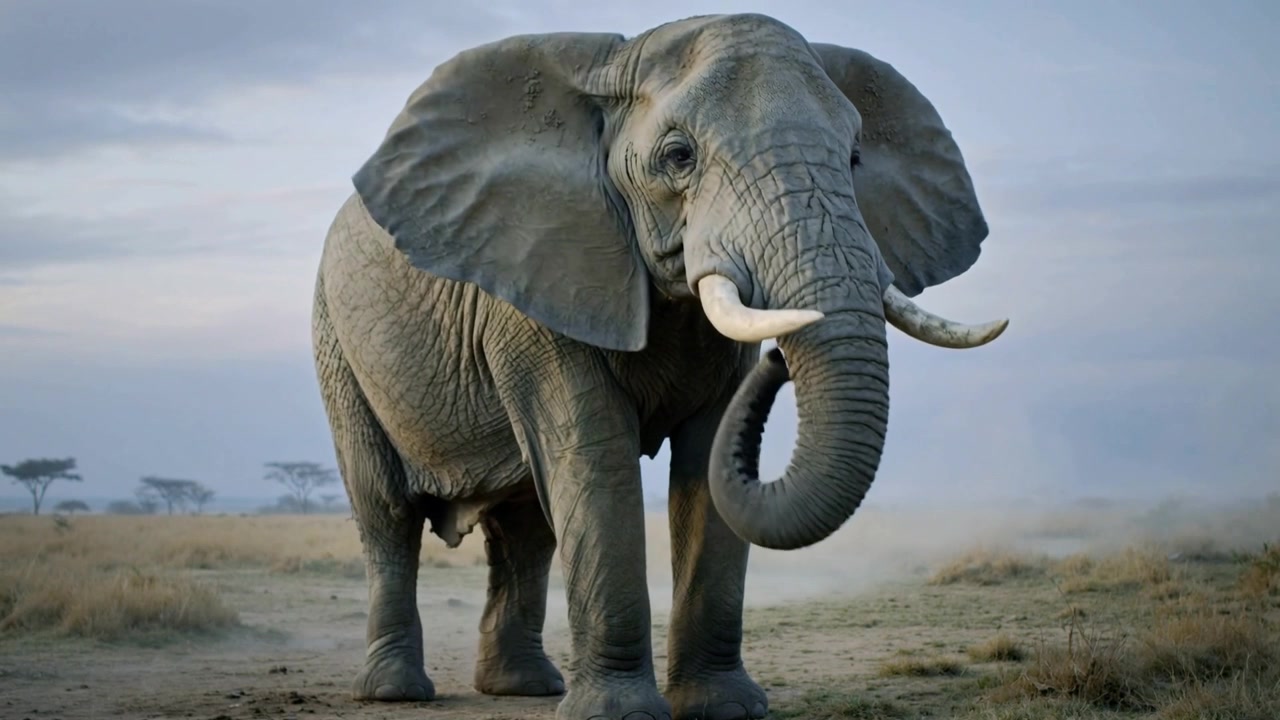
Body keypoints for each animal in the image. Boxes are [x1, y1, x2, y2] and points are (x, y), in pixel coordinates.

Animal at [311, 12, 1008, 720]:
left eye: (856, 158)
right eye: (679, 157)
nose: (780, 356)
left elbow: (705, 463)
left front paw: (723, 708)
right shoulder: (539, 285)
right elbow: (596, 461)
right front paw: (619, 714)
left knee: (525, 529)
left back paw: (525, 686)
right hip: (337, 344)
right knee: (387, 515)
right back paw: (397, 692)